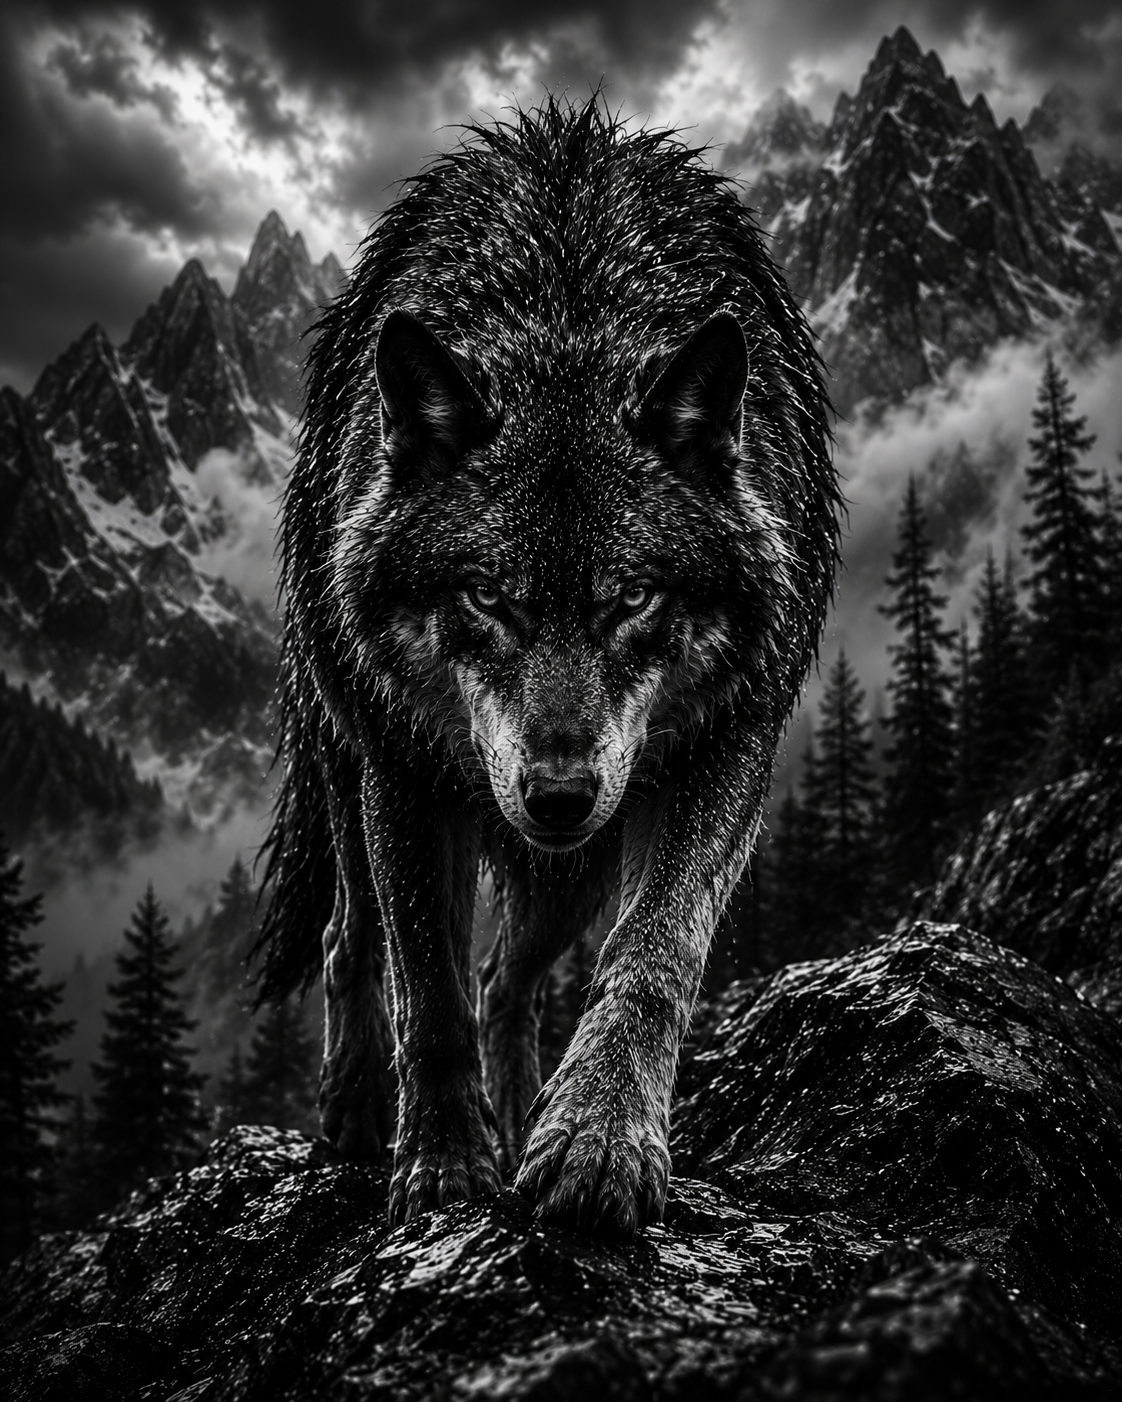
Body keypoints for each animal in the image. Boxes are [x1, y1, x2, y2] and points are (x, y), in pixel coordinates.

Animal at [256, 96, 839, 1237]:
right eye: (489, 599)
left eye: (632, 599)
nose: (558, 793)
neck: (569, 318)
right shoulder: (407, 768)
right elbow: (425, 986)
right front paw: (442, 1165)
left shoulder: (726, 744)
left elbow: (651, 956)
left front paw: (595, 1139)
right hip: (354, 767)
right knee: (355, 943)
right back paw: (354, 1117)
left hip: (573, 866)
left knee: (506, 980)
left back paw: (525, 1107)